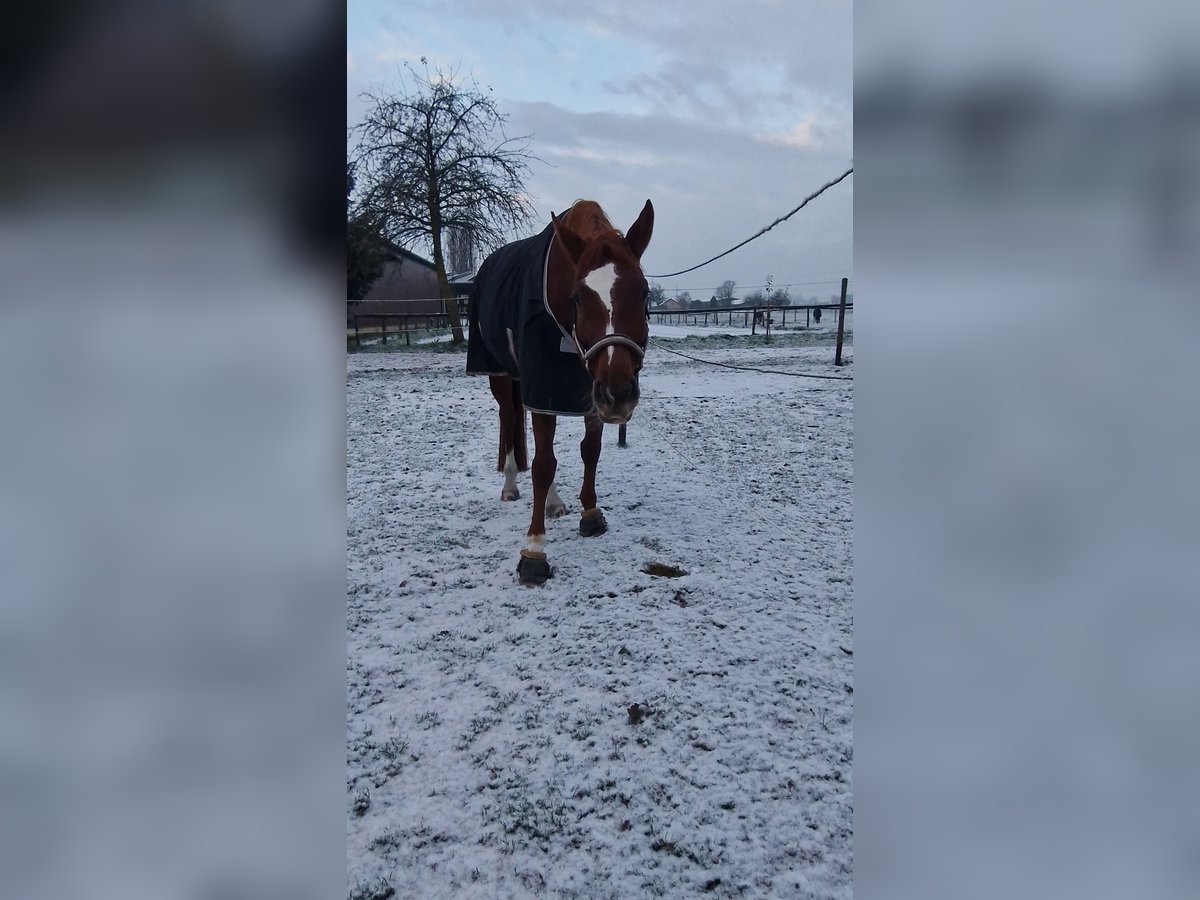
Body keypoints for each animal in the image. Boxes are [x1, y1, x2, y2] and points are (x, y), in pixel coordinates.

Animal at [465, 199, 657, 585]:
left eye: (644, 291)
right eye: (578, 298)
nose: (619, 394)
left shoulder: (588, 393)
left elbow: (589, 451)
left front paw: (590, 513)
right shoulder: (546, 387)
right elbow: (542, 465)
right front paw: (534, 552)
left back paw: (553, 503)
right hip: (503, 376)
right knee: (511, 420)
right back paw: (511, 485)